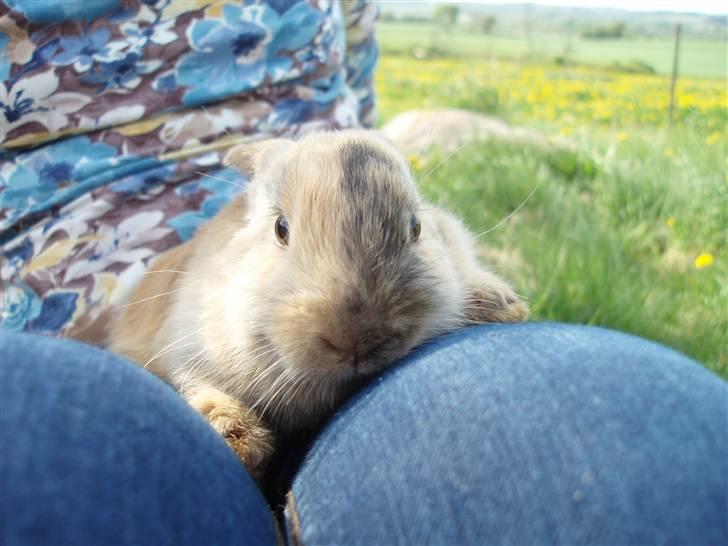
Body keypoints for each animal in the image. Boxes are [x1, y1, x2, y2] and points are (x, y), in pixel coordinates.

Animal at [108, 127, 528, 476]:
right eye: (280, 228)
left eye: (416, 227)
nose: (357, 339)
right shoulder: (184, 350)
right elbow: (199, 387)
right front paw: (240, 441)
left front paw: (504, 305)